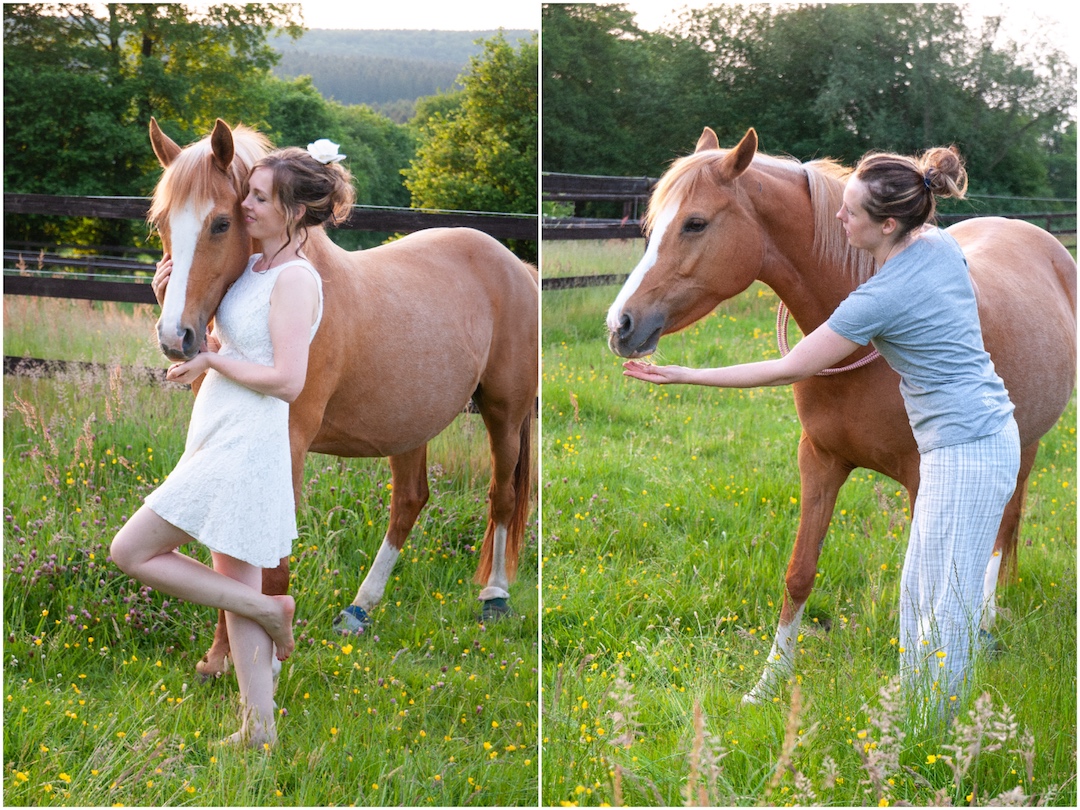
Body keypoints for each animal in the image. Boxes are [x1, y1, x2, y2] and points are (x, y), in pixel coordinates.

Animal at [150, 118, 537, 678]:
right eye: (162, 222)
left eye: (221, 223)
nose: (175, 337)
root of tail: (517, 267)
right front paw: (222, 659)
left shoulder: (289, 442)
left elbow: (268, 560)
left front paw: (263, 661)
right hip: (409, 424)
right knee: (409, 502)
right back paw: (360, 609)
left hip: (504, 413)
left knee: (501, 497)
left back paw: (494, 596)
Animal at [609, 126, 1071, 704]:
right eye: (651, 226)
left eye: (695, 223)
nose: (620, 325)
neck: (863, 343)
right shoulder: (820, 461)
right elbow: (799, 572)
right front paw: (767, 683)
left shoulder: (924, 480)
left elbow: (923, 589)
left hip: (1024, 443)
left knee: (1003, 528)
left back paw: (986, 619)